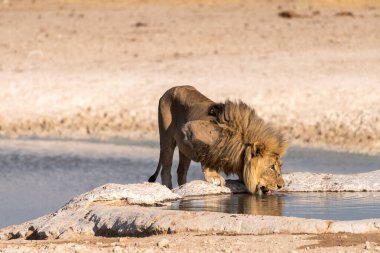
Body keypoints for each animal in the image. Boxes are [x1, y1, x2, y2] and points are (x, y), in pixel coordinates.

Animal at [149, 85, 288, 194]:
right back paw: (169, 188)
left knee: (181, 170)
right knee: (166, 169)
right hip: (167, 140)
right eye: (271, 167)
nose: (281, 186)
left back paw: (183, 186)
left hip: (184, 150)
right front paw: (214, 176)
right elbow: (208, 154)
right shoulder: (193, 129)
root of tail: (171, 89)